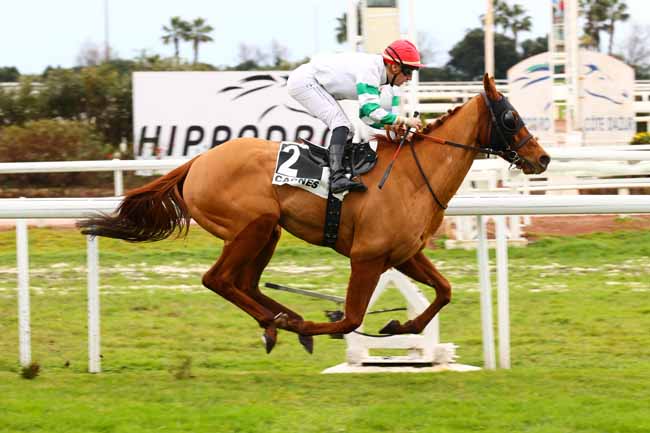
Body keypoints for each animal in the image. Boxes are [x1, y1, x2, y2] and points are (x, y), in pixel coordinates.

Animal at [79, 73, 548, 352]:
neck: (413, 176)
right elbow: (351, 318)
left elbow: (445, 291)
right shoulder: (367, 257)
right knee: (218, 280)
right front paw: (320, 327)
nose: (541, 158)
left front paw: (398, 327)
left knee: (244, 282)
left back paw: (280, 318)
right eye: (510, 117)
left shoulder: (404, 254)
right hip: (252, 227)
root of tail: (196, 162)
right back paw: (282, 322)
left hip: (268, 232)